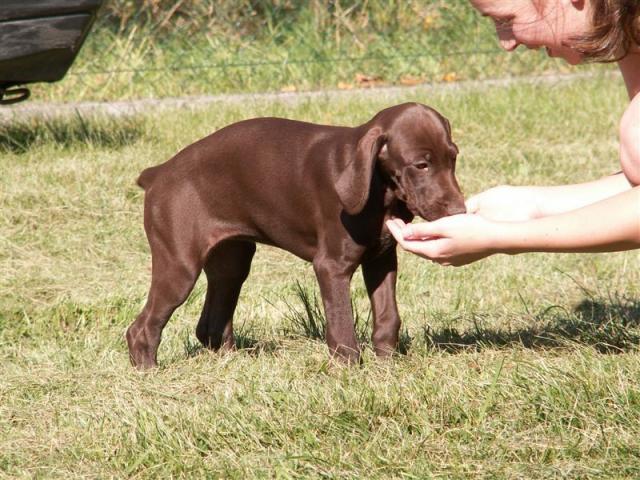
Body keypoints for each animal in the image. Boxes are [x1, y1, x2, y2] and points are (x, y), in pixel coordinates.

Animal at [126, 103, 464, 368]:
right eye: (421, 165)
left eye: (454, 157)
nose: (459, 211)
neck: (379, 190)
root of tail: (158, 173)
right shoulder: (331, 266)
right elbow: (342, 324)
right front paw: (348, 372)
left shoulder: (380, 258)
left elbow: (387, 316)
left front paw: (387, 365)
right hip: (179, 266)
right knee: (141, 328)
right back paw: (148, 372)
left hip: (232, 262)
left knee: (211, 322)